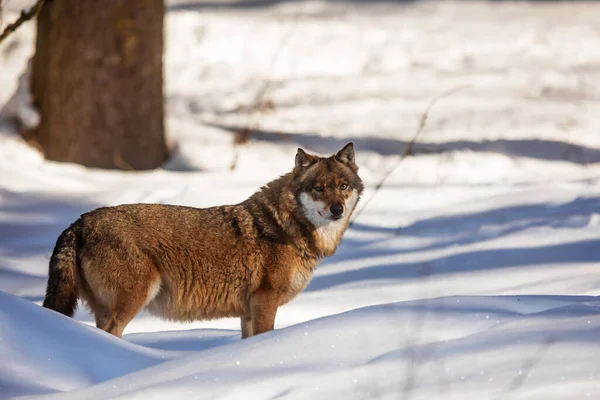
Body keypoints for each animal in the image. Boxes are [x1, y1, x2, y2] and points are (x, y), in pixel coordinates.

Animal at [42, 143, 364, 338]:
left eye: (343, 186)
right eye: (319, 188)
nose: (337, 209)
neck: (289, 225)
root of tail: (80, 222)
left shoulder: (248, 311)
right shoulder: (265, 300)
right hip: (132, 300)